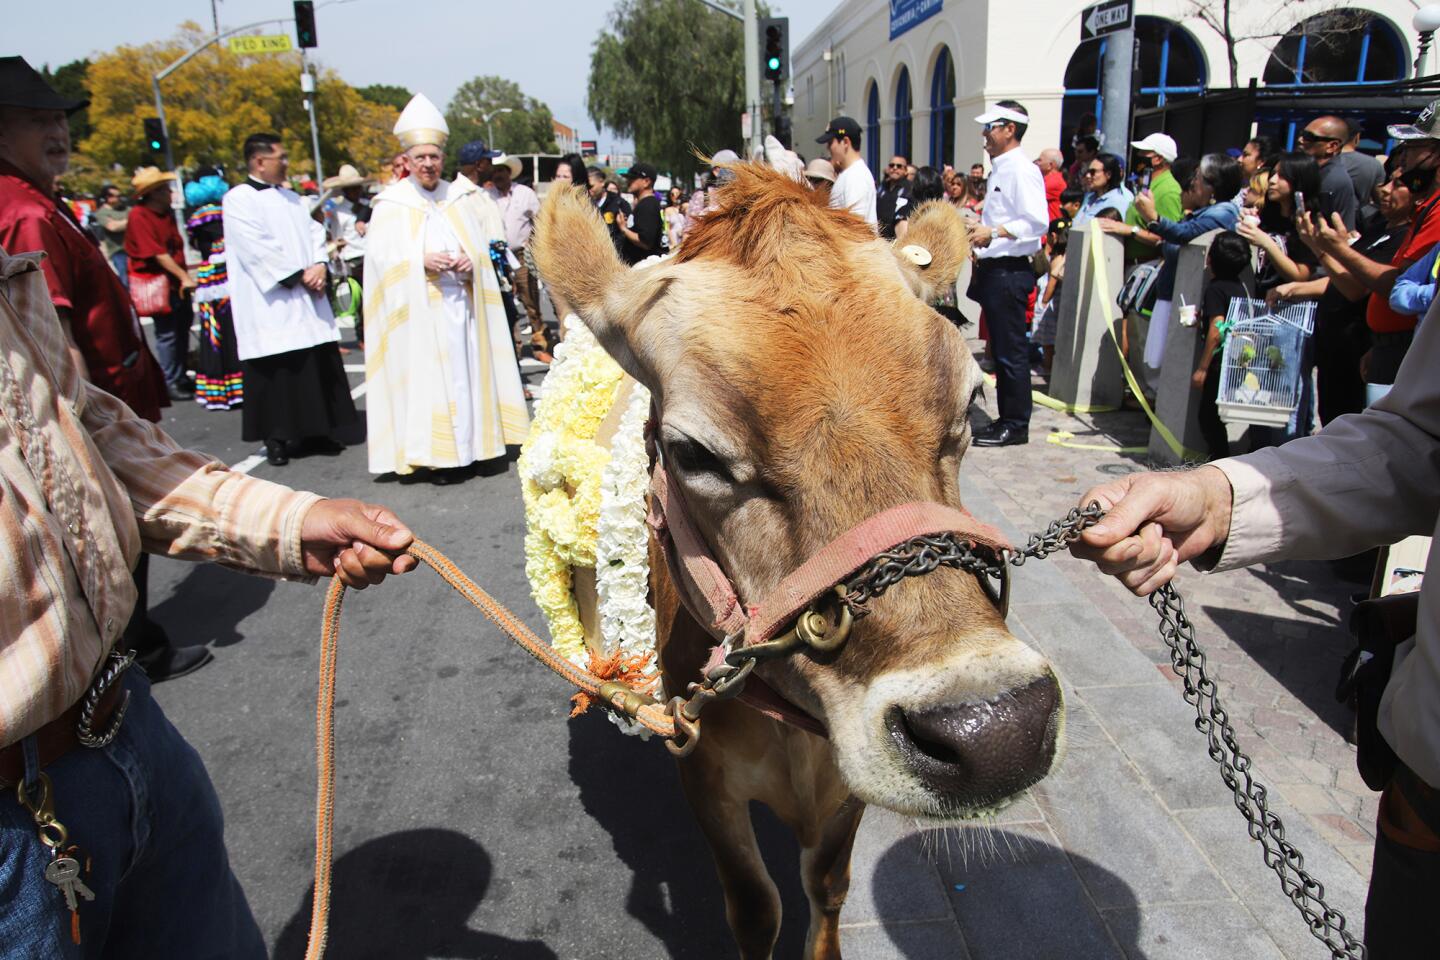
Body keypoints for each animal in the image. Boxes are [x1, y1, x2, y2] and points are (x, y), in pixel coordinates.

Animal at [535, 166, 1065, 960]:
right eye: (692, 452)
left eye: (969, 402)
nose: (997, 729)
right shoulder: (704, 769)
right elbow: (756, 906)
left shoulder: (842, 780)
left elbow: (828, 886)